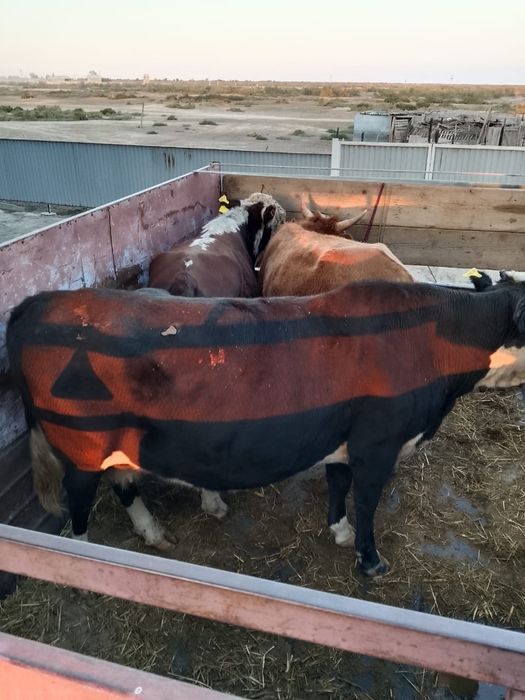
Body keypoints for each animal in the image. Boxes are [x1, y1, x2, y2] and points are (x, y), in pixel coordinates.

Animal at [7, 274, 525, 576]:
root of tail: (40, 302)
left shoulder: (342, 437)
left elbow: (338, 485)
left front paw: (338, 532)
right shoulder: (378, 443)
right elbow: (367, 502)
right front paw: (370, 560)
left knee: (124, 481)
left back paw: (153, 531)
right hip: (82, 444)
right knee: (81, 509)